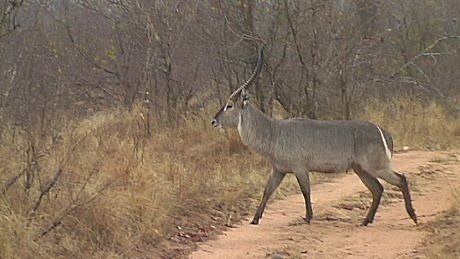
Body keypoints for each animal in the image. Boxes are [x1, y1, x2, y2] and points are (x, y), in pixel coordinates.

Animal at [211, 47, 416, 226]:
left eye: (229, 105)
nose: (214, 121)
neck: (273, 132)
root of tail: (384, 132)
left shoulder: (300, 168)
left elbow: (305, 191)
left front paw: (308, 217)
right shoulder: (279, 170)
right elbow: (267, 191)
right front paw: (255, 219)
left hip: (376, 166)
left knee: (401, 179)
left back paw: (412, 216)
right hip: (361, 169)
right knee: (378, 189)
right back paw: (366, 221)